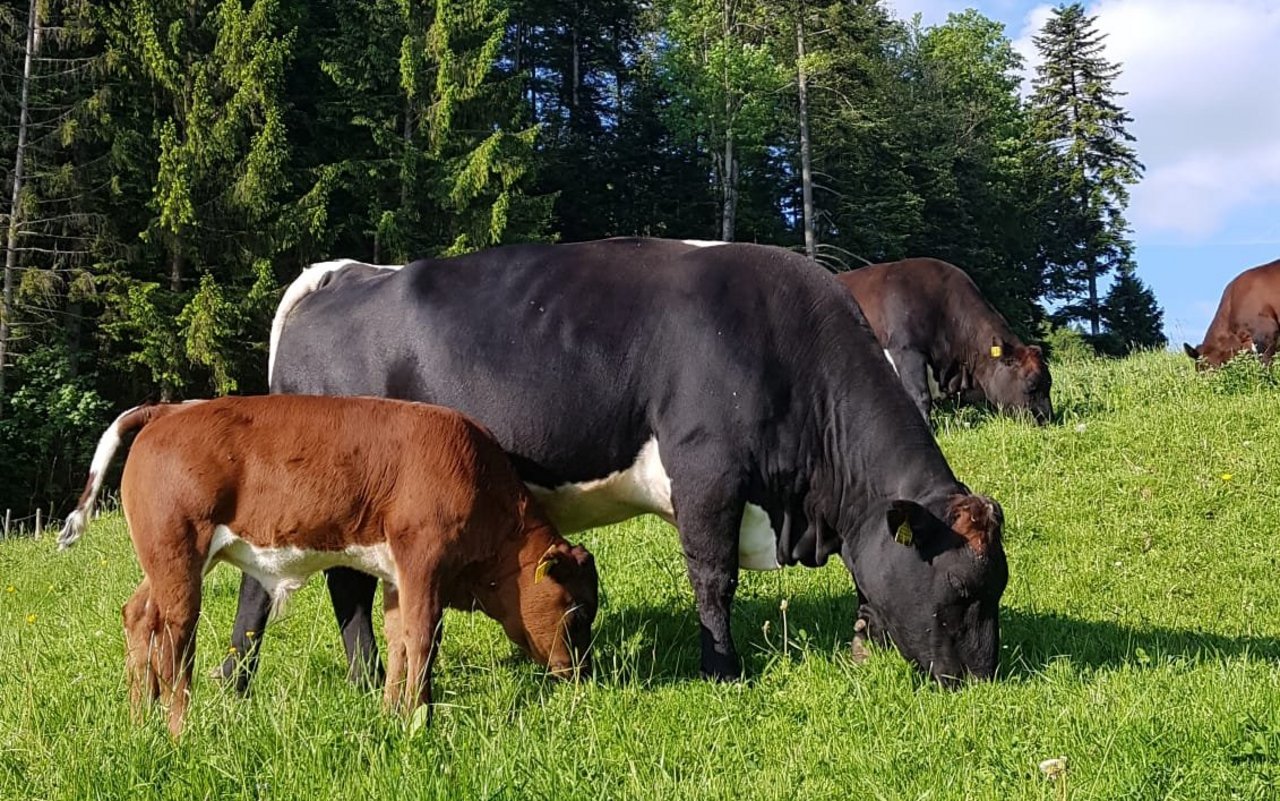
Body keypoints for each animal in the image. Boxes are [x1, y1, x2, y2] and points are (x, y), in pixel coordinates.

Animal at [56, 395, 600, 736]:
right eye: (576, 609)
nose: (580, 671)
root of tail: (169, 409)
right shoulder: (424, 558)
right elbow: (424, 638)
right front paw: (420, 721)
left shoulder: (398, 573)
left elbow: (399, 641)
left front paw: (390, 714)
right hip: (179, 553)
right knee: (175, 639)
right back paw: (177, 731)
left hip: (169, 560)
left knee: (139, 615)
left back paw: (139, 722)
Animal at [223, 237, 1009, 690]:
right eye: (962, 590)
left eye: (998, 586)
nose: (982, 678)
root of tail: (341, 273)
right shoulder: (707, 472)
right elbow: (713, 578)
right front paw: (722, 670)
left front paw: (860, 650)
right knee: (270, 590)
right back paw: (236, 686)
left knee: (348, 588)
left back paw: (363, 682)